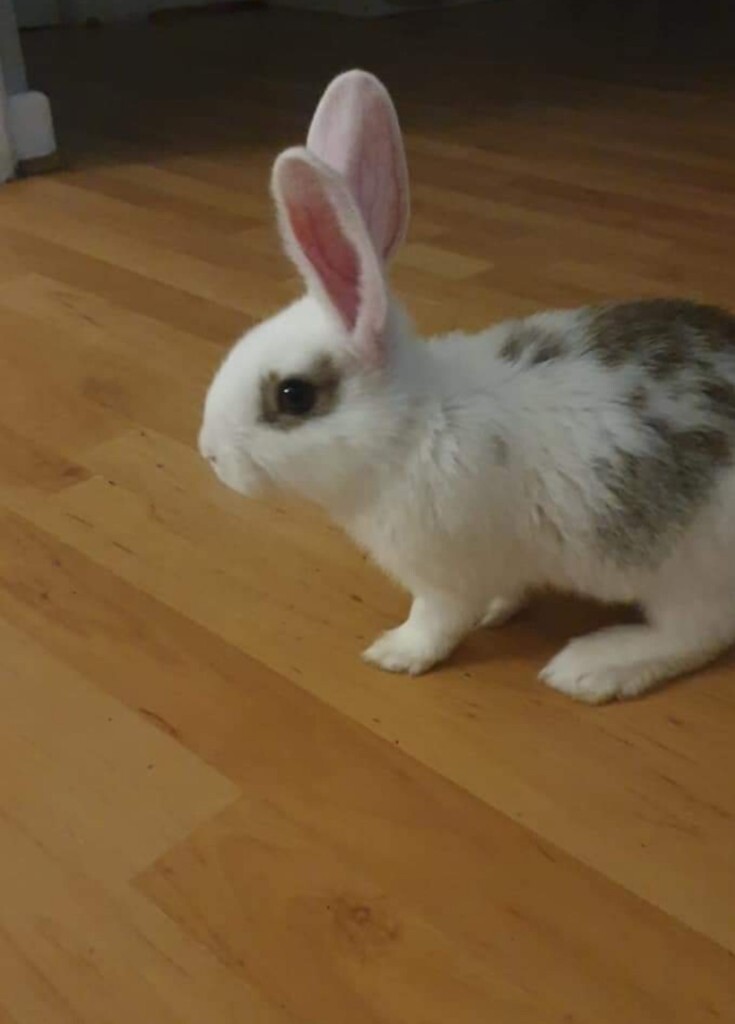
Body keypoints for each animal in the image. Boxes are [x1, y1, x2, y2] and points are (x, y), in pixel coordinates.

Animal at [199, 68, 735, 704]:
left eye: (293, 396)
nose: (209, 453)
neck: (412, 426)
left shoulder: (442, 575)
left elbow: (437, 621)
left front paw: (395, 653)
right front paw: (499, 612)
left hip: (688, 569)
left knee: (699, 632)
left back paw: (593, 666)